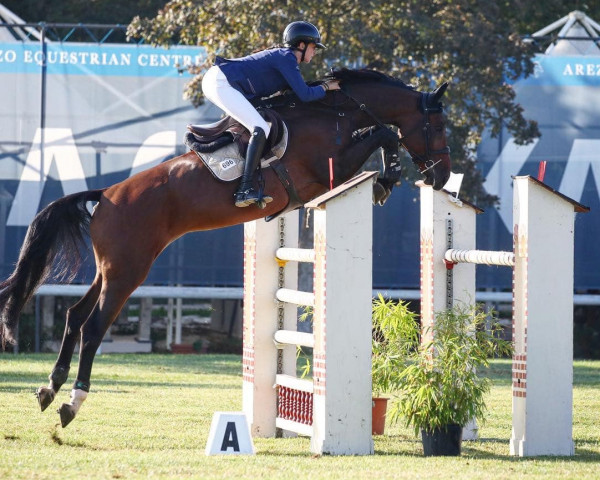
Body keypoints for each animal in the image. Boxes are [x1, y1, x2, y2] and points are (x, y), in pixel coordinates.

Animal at [0, 67, 450, 428]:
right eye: (441, 126)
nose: (442, 177)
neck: (332, 113)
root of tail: (106, 195)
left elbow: (381, 132)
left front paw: (386, 177)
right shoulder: (327, 171)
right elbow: (383, 133)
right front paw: (386, 178)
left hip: (111, 268)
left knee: (75, 316)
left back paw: (50, 388)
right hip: (129, 271)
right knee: (92, 328)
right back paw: (72, 402)